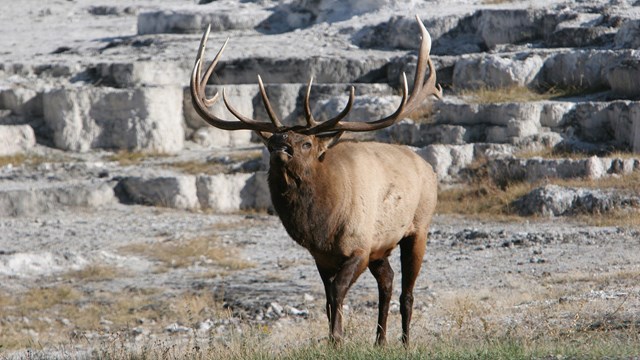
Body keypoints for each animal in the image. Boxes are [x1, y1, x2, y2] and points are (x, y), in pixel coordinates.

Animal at [188, 16, 442, 346]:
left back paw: (405, 342)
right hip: (381, 247)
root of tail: (428, 167)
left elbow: (338, 291)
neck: (322, 225)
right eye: (271, 143)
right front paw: (334, 337)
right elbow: (327, 299)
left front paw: (337, 338)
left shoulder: (359, 246)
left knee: (406, 292)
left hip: (417, 228)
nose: (280, 147)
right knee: (387, 281)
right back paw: (380, 341)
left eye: (306, 143)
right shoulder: (324, 257)